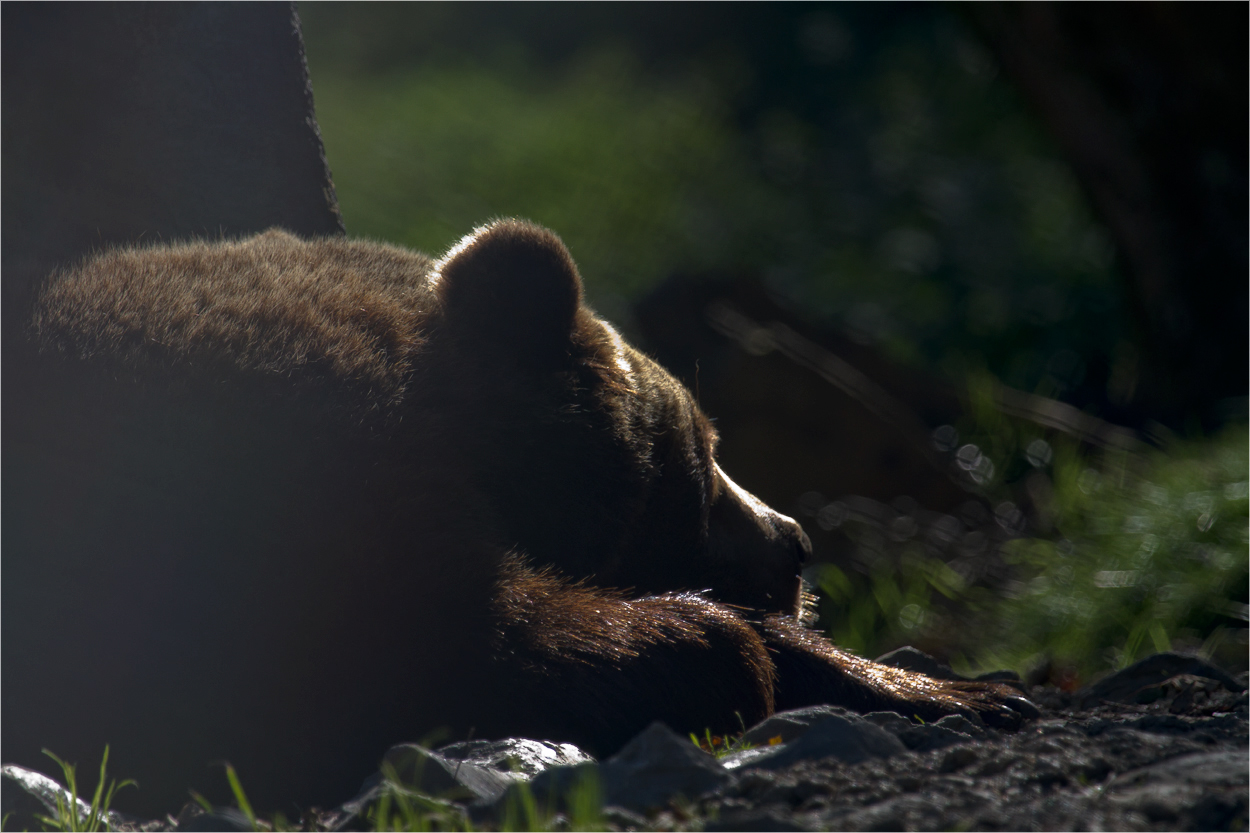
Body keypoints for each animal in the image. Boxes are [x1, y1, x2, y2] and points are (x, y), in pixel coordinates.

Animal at [2, 218, 1035, 810]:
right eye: (705, 443)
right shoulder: (281, 525)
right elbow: (489, 643)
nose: (795, 542)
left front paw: (959, 689)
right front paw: (722, 647)